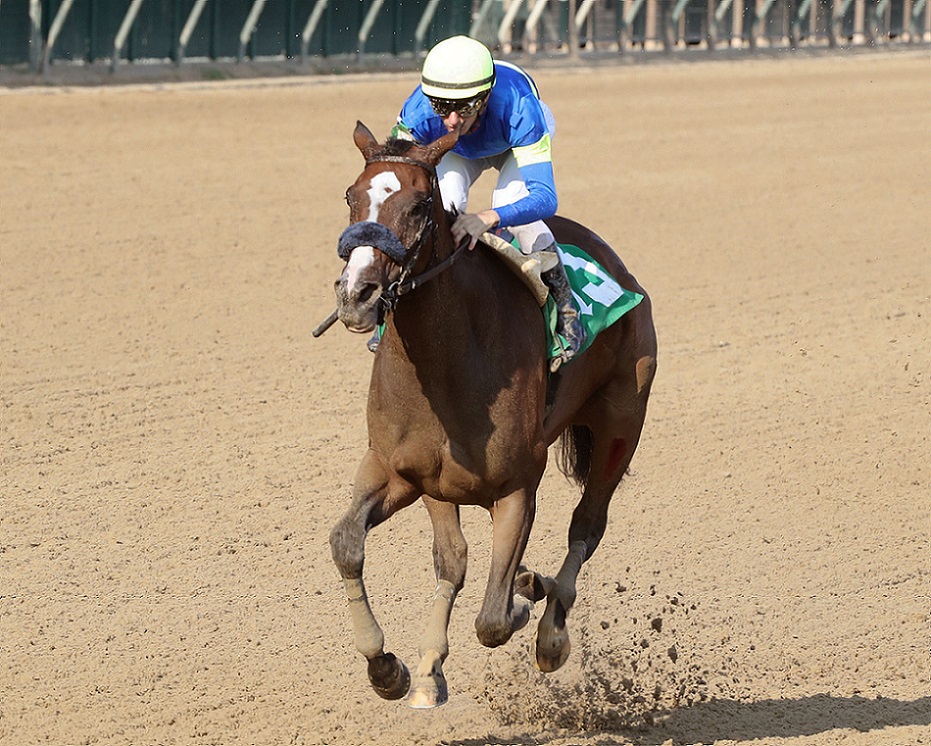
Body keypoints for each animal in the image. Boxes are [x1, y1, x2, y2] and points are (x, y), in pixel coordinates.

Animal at [327, 121, 657, 708]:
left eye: (419, 205)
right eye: (351, 196)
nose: (357, 294)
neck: (449, 361)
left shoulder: (519, 485)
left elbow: (494, 621)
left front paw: (525, 602)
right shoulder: (405, 472)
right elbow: (358, 546)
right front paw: (395, 669)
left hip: (622, 424)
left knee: (586, 527)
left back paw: (549, 629)